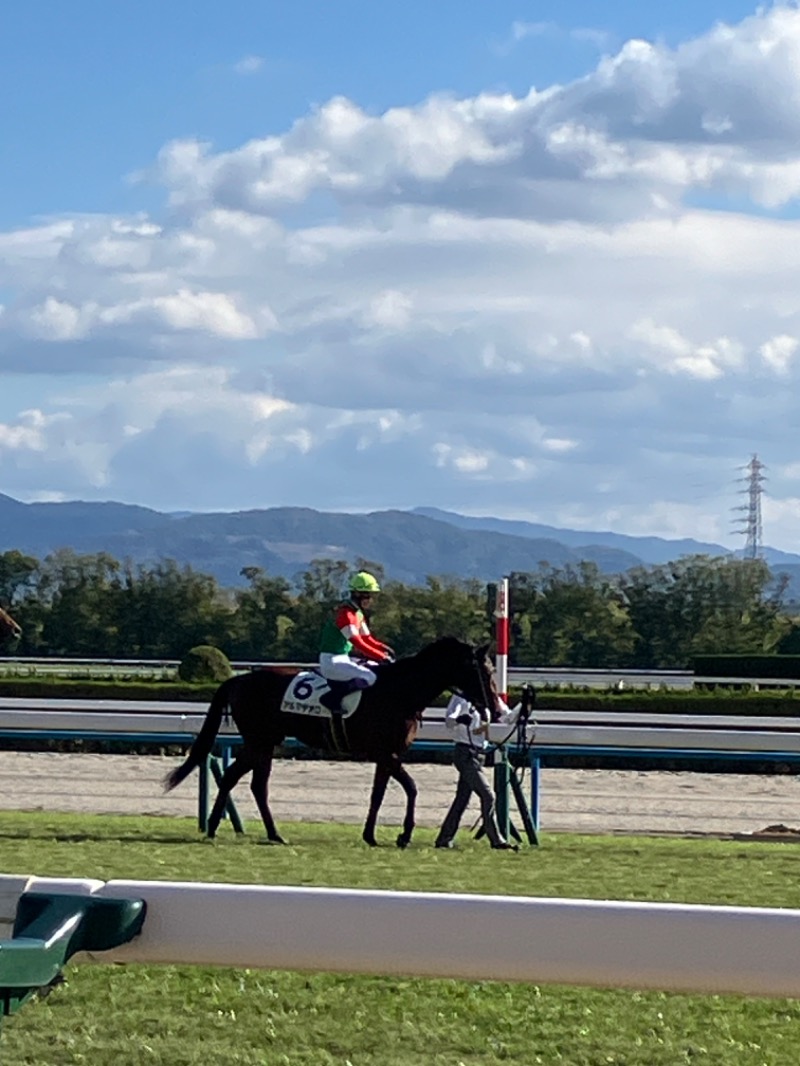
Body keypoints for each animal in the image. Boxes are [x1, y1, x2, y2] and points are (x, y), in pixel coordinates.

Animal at [163, 631, 501, 848]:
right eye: (482, 672)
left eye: (491, 671)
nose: (496, 709)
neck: (399, 692)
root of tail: (240, 679)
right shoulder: (385, 753)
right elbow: (412, 788)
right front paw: (404, 835)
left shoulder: (387, 755)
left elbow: (378, 795)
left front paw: (370, 835)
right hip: (261, 742)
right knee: (255, 785)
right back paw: (269, 833)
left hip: (261, 742)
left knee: (236, 778)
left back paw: (222, 828)